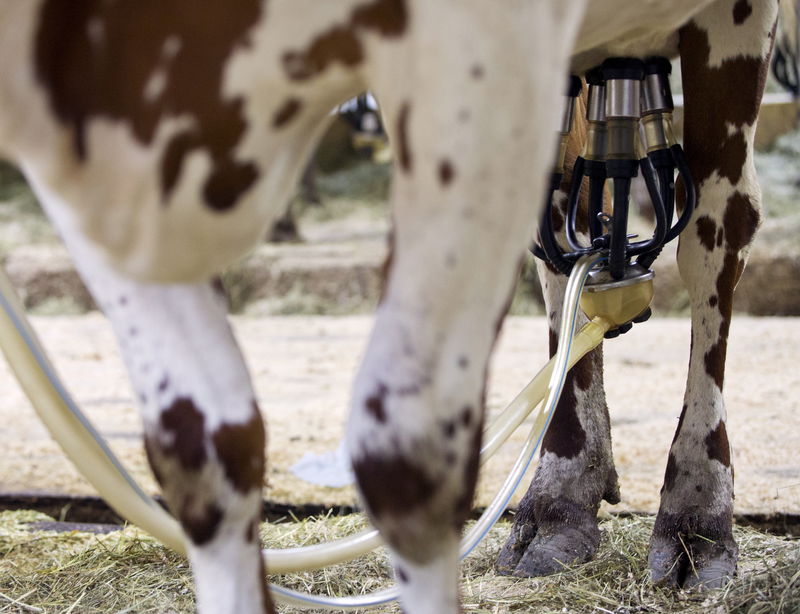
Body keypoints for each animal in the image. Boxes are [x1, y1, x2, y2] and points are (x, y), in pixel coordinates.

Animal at [0, 1, 780, 614]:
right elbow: (202, 449)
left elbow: (407, 450)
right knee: (570, 234)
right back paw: (560, 503)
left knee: (716, 229)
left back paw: (696, 518)